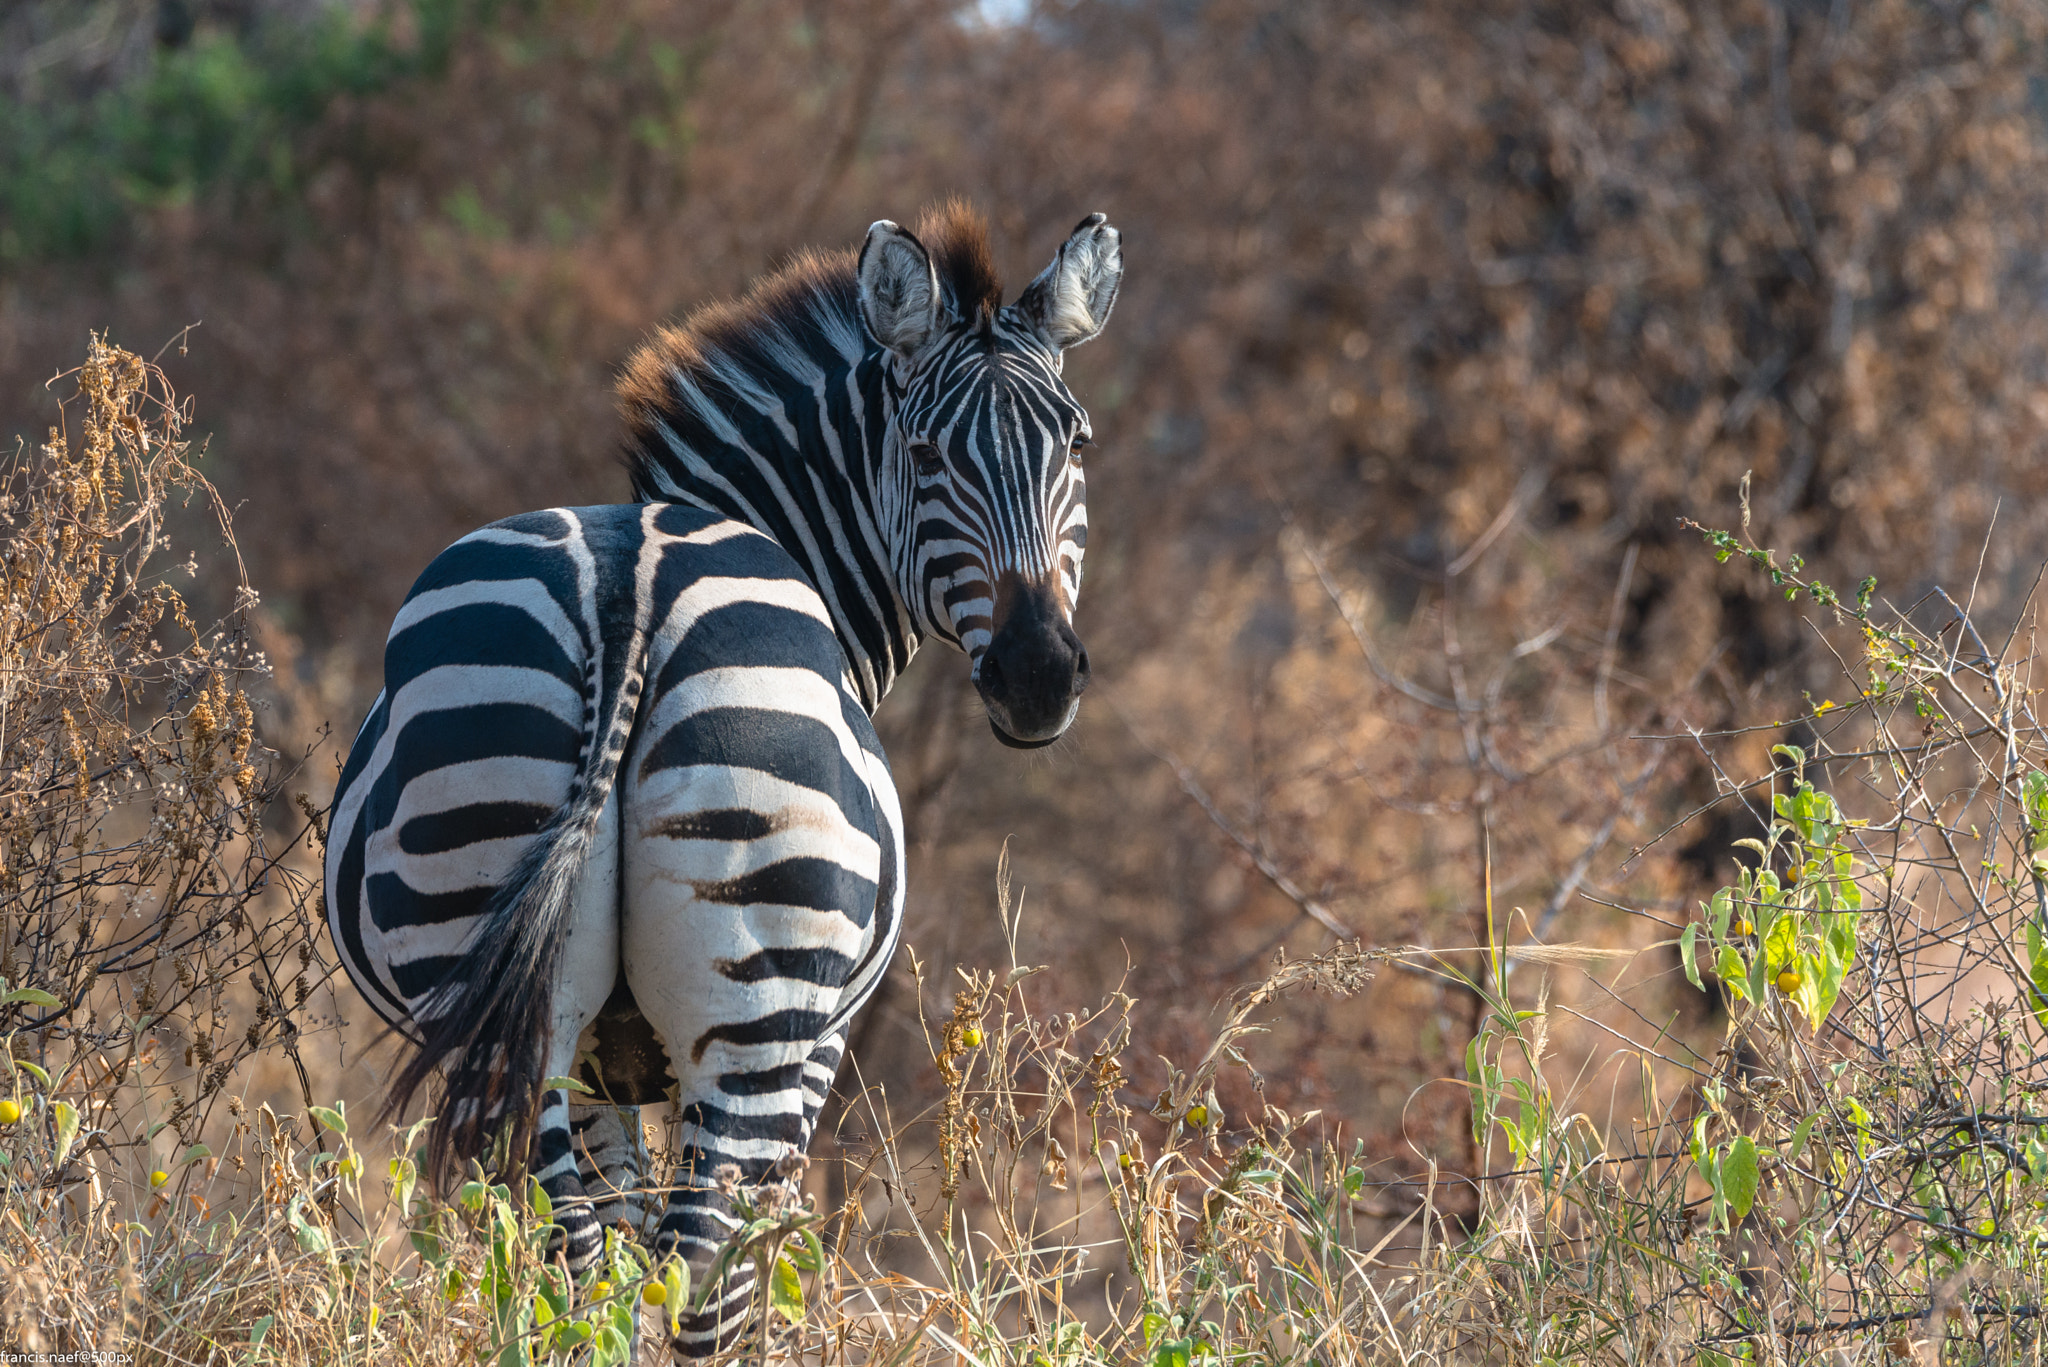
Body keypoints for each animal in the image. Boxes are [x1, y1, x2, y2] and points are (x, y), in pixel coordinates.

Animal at [324, 202, 1122, 1354]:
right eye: (925, 452)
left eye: (1077, 444)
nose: (1038, 675)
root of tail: (629, 587)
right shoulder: (818, 1048)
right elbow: (742, 1261)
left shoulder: (599, 1063)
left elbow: (609, 1242)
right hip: (758, 1010)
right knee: (700, 1268)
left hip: (497, 969)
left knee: (582, 1263)